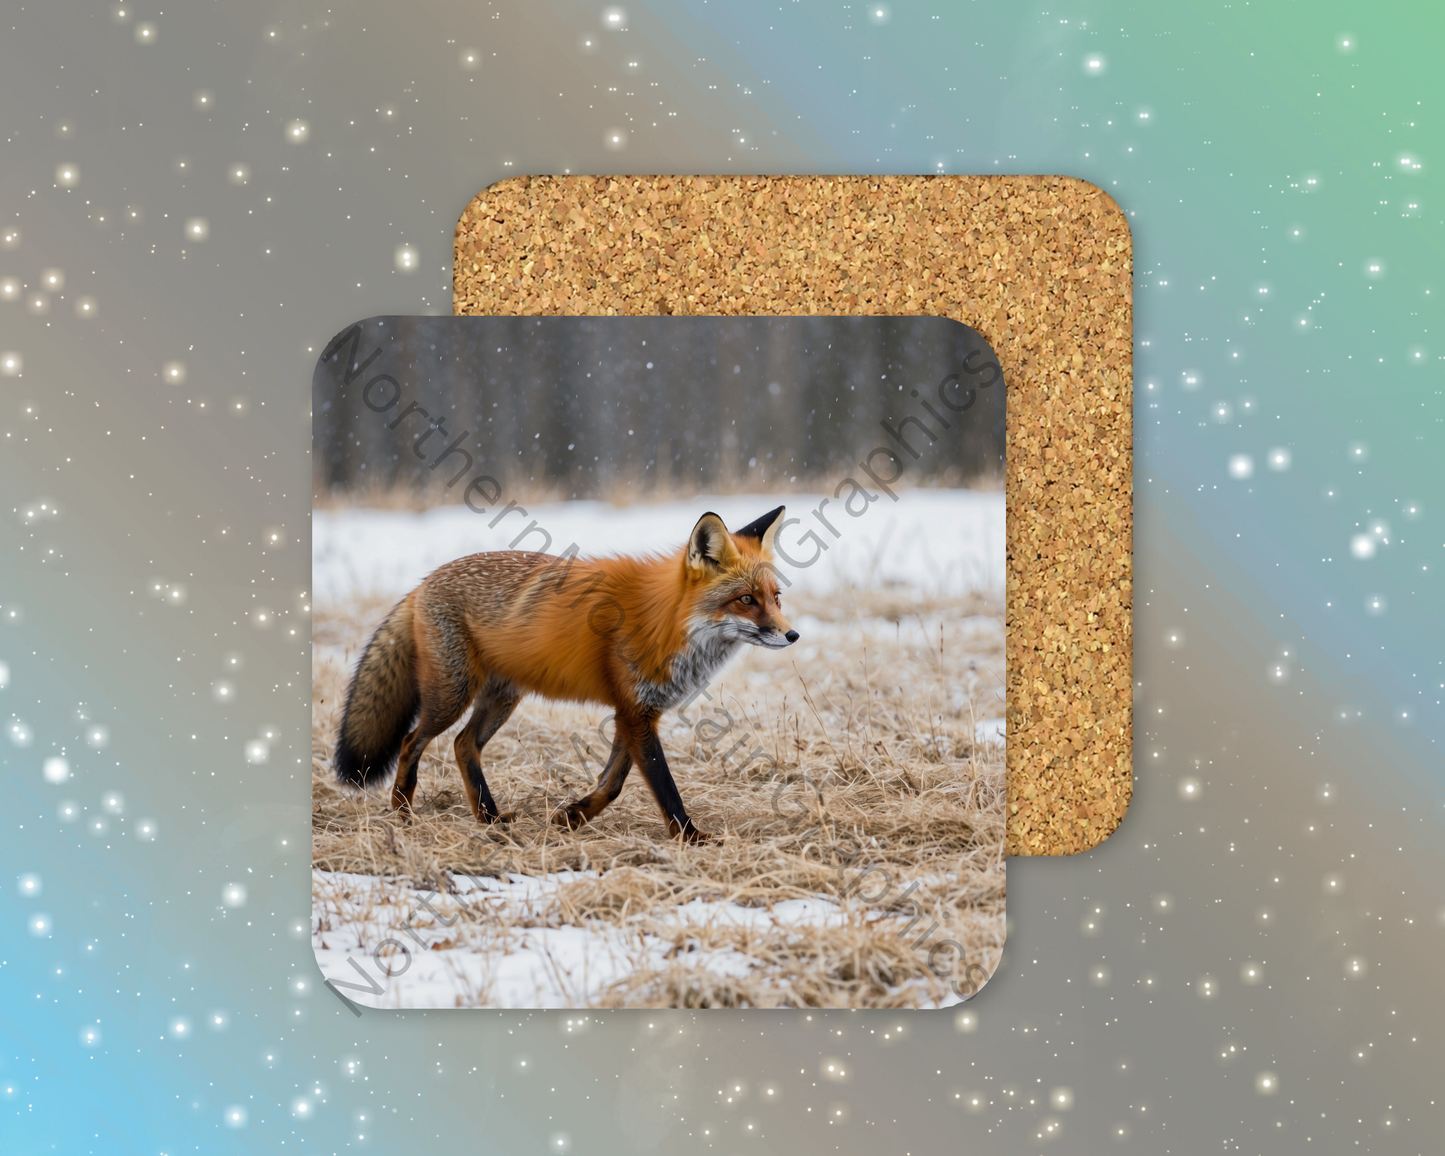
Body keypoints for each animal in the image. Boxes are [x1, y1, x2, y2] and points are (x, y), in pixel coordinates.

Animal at [331, 506, 797, 842]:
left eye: (775, 597)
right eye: (746, 600)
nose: (792, 634)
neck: (667, 621)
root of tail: (423, 582)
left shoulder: (636, 712)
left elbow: (612, 783)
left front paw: (573, 817)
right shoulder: (635, 713)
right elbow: (664, 787)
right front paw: (691, 838)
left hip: (502, 698)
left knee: (463, 745)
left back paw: (489, 818)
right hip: (452, 695)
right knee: (412, 742)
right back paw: (403, 813)